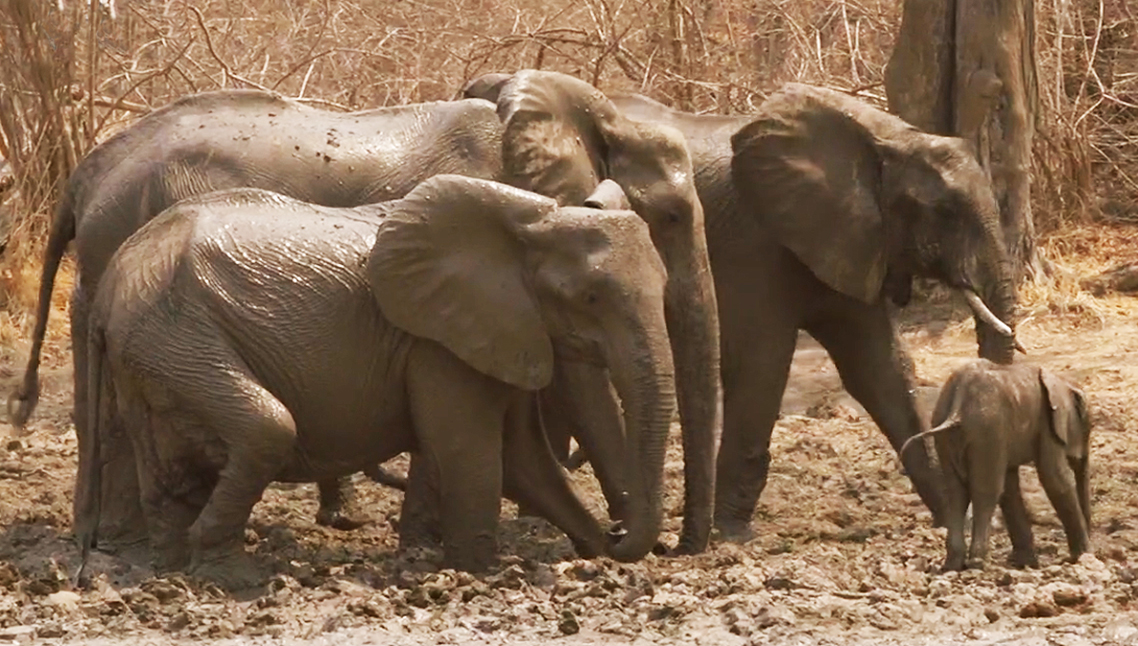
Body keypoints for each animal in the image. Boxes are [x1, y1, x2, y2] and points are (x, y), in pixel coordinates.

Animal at [11, 71, 719, 555]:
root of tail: (86, 174)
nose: (681, 549)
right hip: (118, 247)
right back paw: (126, 538)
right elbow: (575, 387)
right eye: (672, 216)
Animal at [462, 76, 1024, 539]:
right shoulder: (763, 243)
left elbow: (878, 367)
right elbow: (763, 361)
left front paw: (947, 517)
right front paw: (731, 535)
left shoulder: (852, 236)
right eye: (945, 211)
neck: (886, 137)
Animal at [901, 361, 1087, 573]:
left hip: (948, 432)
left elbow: (1010, 487)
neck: (1063, 382)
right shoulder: (1047, 425)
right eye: (1087, 426)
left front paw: (1026, 563)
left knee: (956, 493)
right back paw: (977, 563)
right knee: (985, 492)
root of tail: (958, 401)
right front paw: (1083, 556)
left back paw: (952, 565)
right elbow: (1056, 479)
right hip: (987, 431)